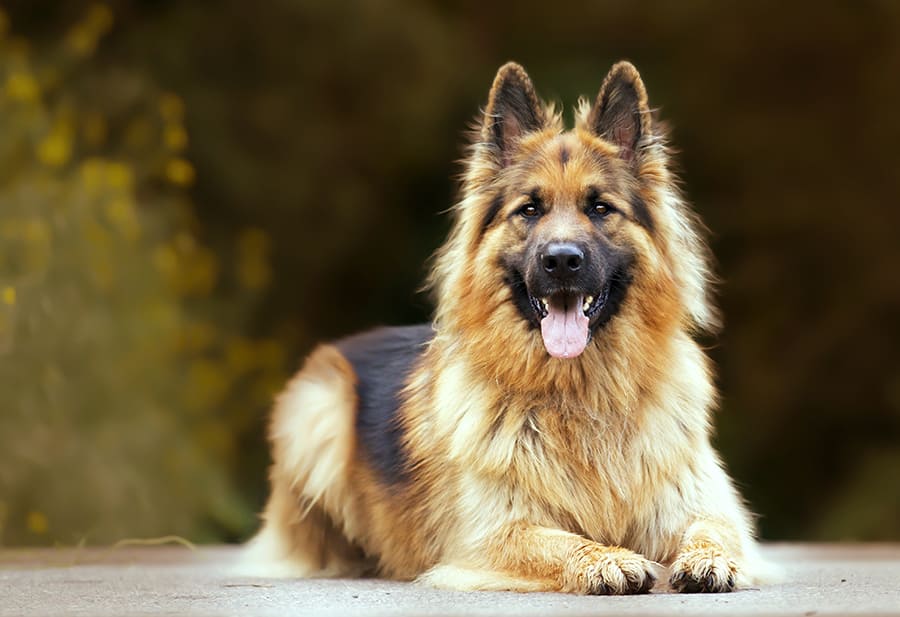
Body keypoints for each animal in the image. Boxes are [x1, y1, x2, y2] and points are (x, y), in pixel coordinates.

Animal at [243, 61, 768, 592]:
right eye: (529, 209)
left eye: (600, 208)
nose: (562, 261)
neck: (578, 394)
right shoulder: (492, 534)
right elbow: (560, 541)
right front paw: (605, 559)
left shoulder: (698, 504)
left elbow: (714, 529)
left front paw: (709, 559)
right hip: (320, 411)